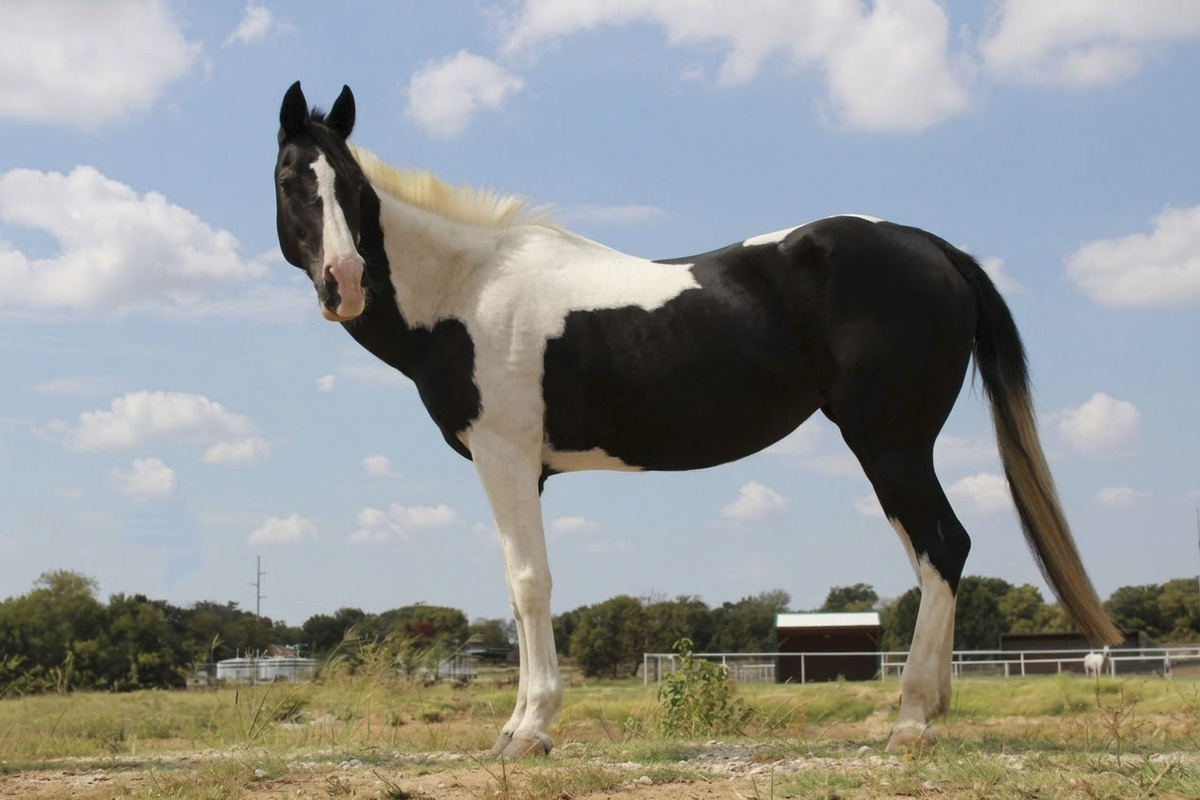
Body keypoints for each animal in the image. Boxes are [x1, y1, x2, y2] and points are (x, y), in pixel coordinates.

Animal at [273, 81, 1122, 756]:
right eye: (290, 179)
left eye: (352, 184)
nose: (345, 282)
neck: (468, 291)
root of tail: (935, 249)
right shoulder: (516, 467)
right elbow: (519, 591)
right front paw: (520, 723)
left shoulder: (505, 456)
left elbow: (529, 583)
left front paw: (529, 731)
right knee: (928, 555)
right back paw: (930, 708)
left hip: (892, 442)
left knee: (944, 547)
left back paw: (910, 720)